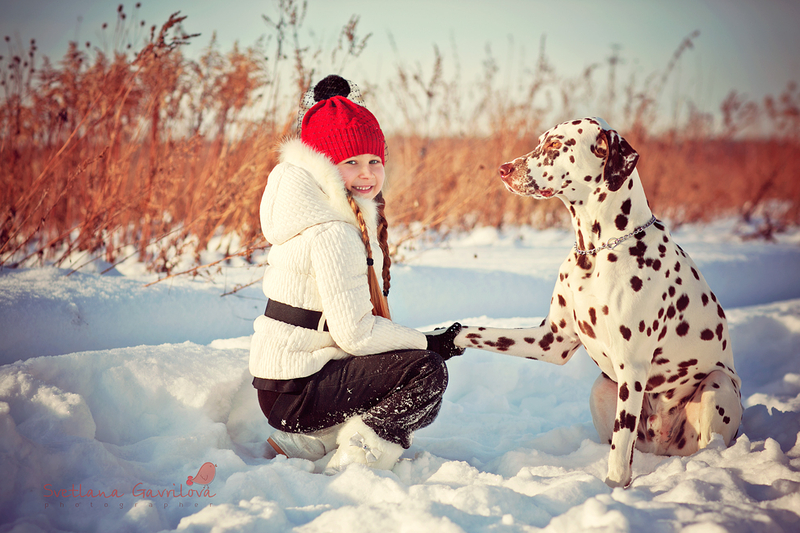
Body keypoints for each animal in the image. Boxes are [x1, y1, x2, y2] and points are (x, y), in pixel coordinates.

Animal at [454, 118, 742, 488]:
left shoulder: (632, 367)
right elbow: (481, 333)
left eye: (555, 145)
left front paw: (612, 489)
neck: (595, 250)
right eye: (541, 140)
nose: (504, 169)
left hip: (716, 386)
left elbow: (619, 451)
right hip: (603, 386)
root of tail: (663, 444)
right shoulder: (550, 341)